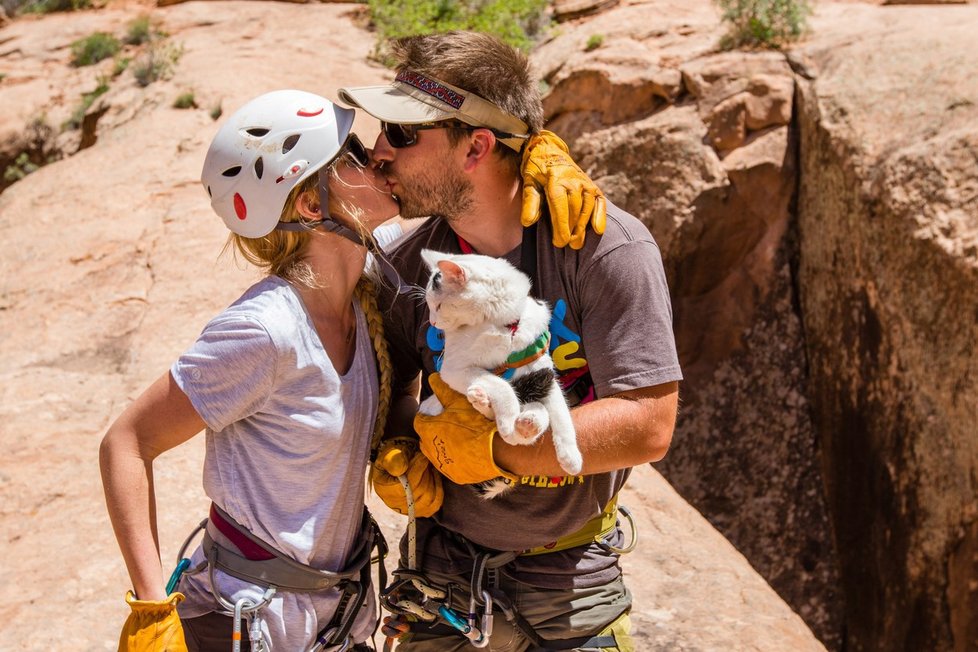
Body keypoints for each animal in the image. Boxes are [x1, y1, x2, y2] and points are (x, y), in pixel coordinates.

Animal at [418, 247, 584, 496]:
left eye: (438, 306)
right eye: (430, 307)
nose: (433, 322)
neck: (500, 323)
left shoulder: (540, 366)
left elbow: (560, 410)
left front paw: (570, 455)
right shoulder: (454, 369)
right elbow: (501, 385)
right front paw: (507, 419)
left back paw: (527, 421)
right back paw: (486, 404)